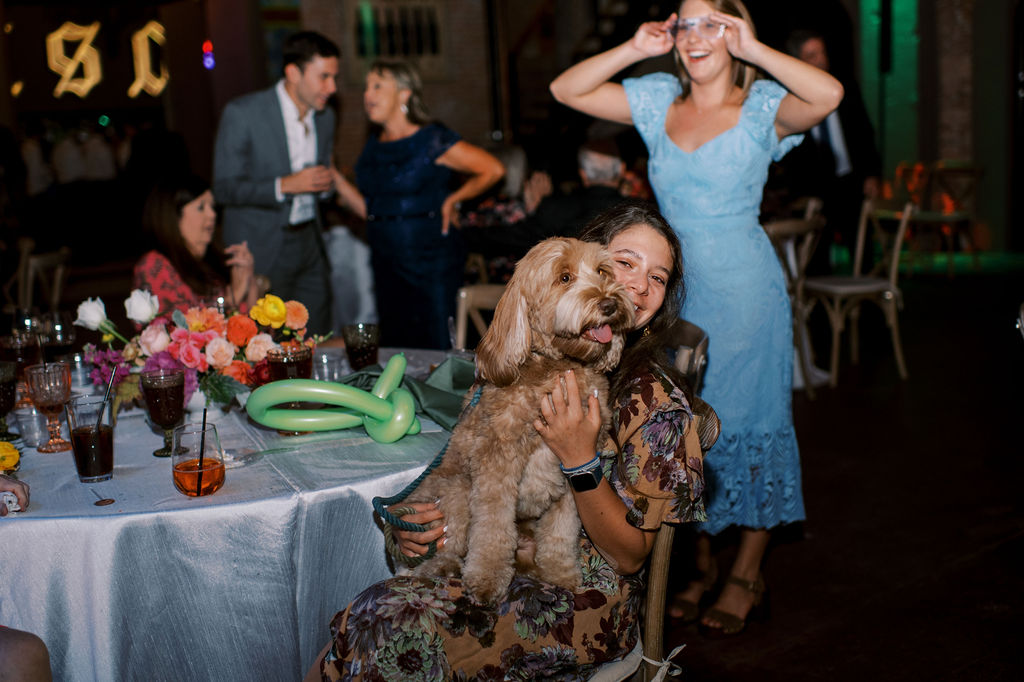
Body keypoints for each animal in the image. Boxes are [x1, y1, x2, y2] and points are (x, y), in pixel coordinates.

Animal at [403, 237, 634, 603]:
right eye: (565, 277)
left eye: (603, 271)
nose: (610, 303)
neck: (557, 369)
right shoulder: (496, 464)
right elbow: (492, 528)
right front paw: (486, 578)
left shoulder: (574, 467)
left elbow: (563, 529)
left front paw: (560, 572)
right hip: (456, 492)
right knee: (451, 542)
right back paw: (440, 567)